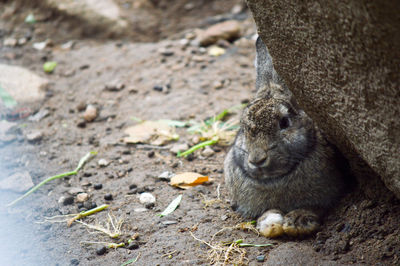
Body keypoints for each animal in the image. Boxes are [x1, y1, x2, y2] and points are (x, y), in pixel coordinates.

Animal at [223, 36, 352, 238]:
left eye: (284, 123)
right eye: (243, 128)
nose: (257, 160)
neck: (274, 180)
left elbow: (316, 208)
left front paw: (298, 221)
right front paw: (269, 223)